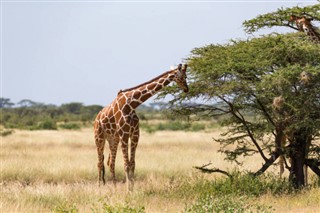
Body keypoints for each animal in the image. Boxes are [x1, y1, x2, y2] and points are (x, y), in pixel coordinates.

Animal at [93, 63, 188, 191]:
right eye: (182, 77)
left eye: (186, 76)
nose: (186, 89)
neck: (132, 104)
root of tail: (97, 118)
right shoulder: (124, 134)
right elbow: (126, 164)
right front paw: (128, 190)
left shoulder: (135, 135)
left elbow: (132, 163)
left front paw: (132, 189)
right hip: (99, 137)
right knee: (99, 162)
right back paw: (99, 187)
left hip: (113, 139)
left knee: (110, 163)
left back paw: (114, 188)